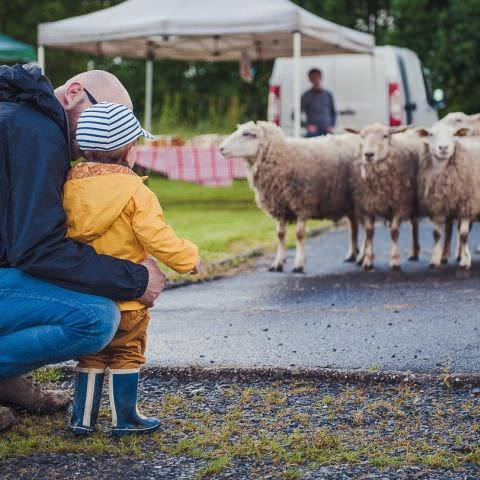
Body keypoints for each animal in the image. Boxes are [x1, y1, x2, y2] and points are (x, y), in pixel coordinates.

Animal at [219, 121, 362, 274]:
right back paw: (352, 254)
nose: (220, 148)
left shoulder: (302, 203)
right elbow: (280, 235)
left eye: (246, 134)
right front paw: (277, 263)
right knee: (353, 224)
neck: (284, 156)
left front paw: (298, 264)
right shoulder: (280, 205)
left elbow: (299, 235)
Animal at [344, 124, 420, 270]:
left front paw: (395, 261)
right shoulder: (366, 206)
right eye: (362, 136)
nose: (368, 154)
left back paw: (414, 252)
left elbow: (394, 232)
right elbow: (369, 232)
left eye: (385, 136)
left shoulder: (400, 205)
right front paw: (368, 260)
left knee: (414, 225)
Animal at [414, 124, 480, 270]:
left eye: (454, 134)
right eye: (431, 134)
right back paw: (458, 255)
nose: (443, 148)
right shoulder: (437, 206)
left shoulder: (467, 205)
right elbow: (437, 235)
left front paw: (466, 262)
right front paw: (435, 260)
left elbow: (464, 235)